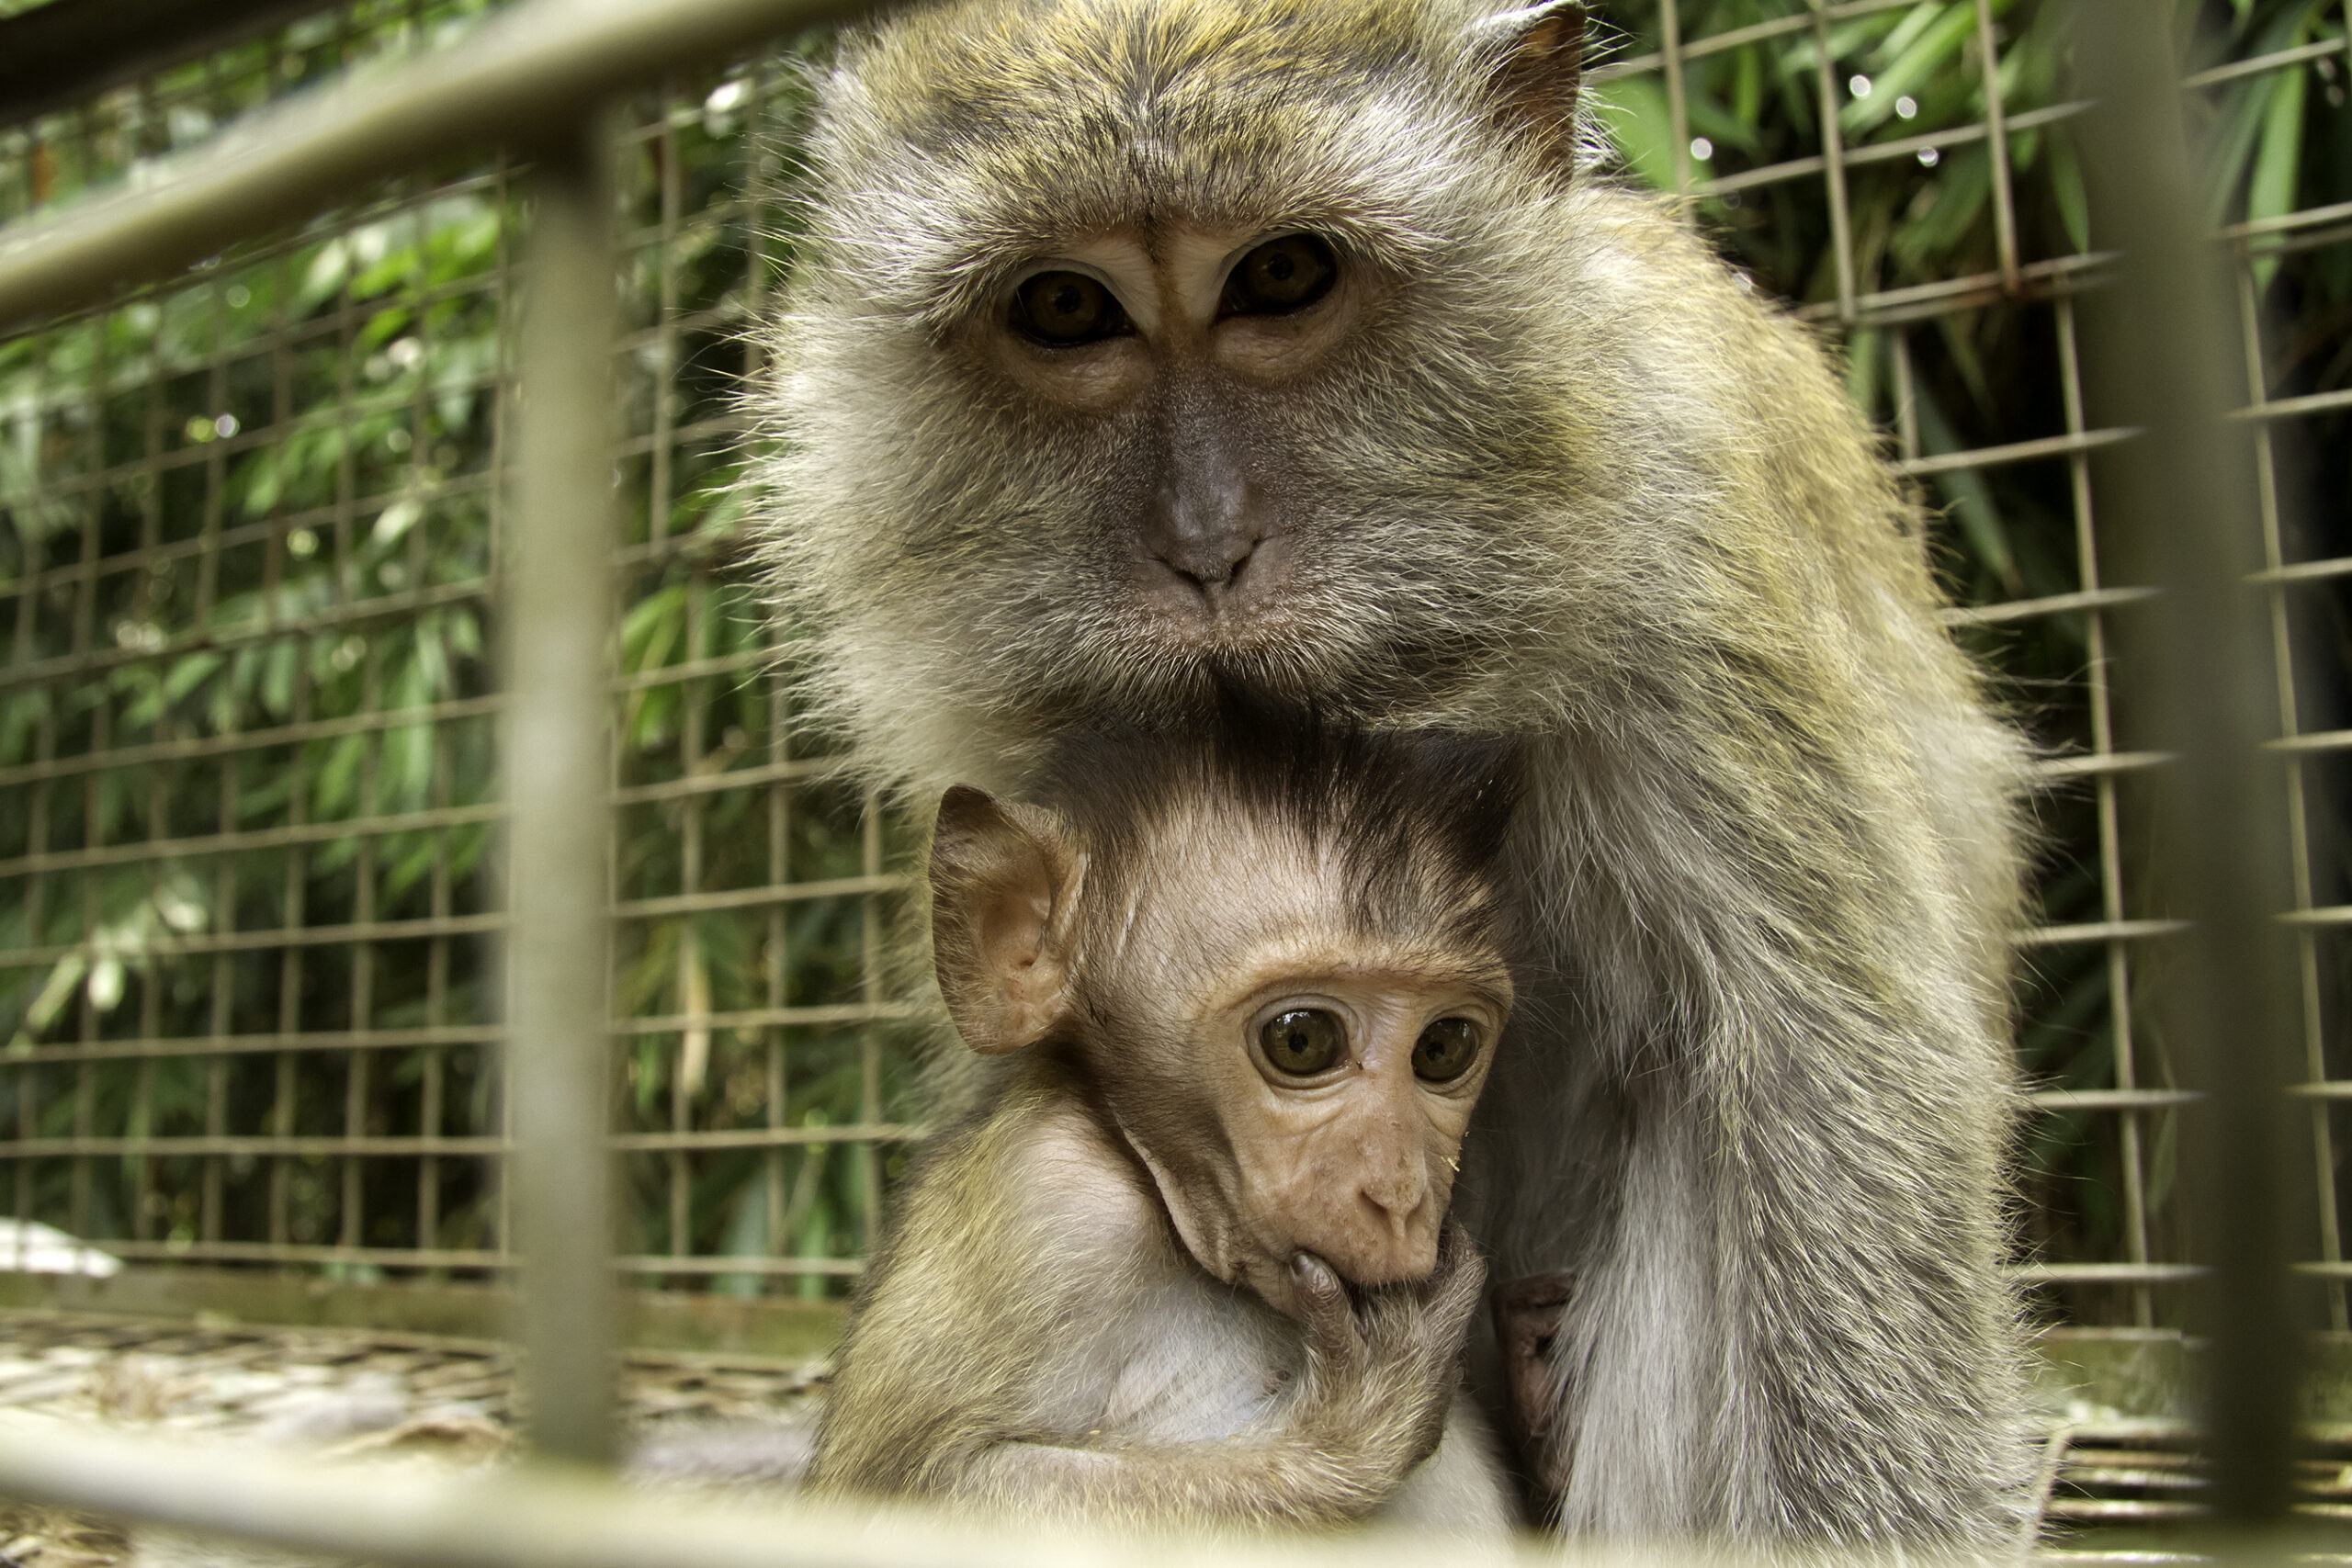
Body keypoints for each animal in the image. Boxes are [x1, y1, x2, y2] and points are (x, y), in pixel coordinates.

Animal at [808, 711, 1525, 1531]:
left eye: (1444, 1046)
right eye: (1302, 1040)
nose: (1401, 1196)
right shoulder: (1048, 1210)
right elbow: (908, 1489)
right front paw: (1356, 1426)